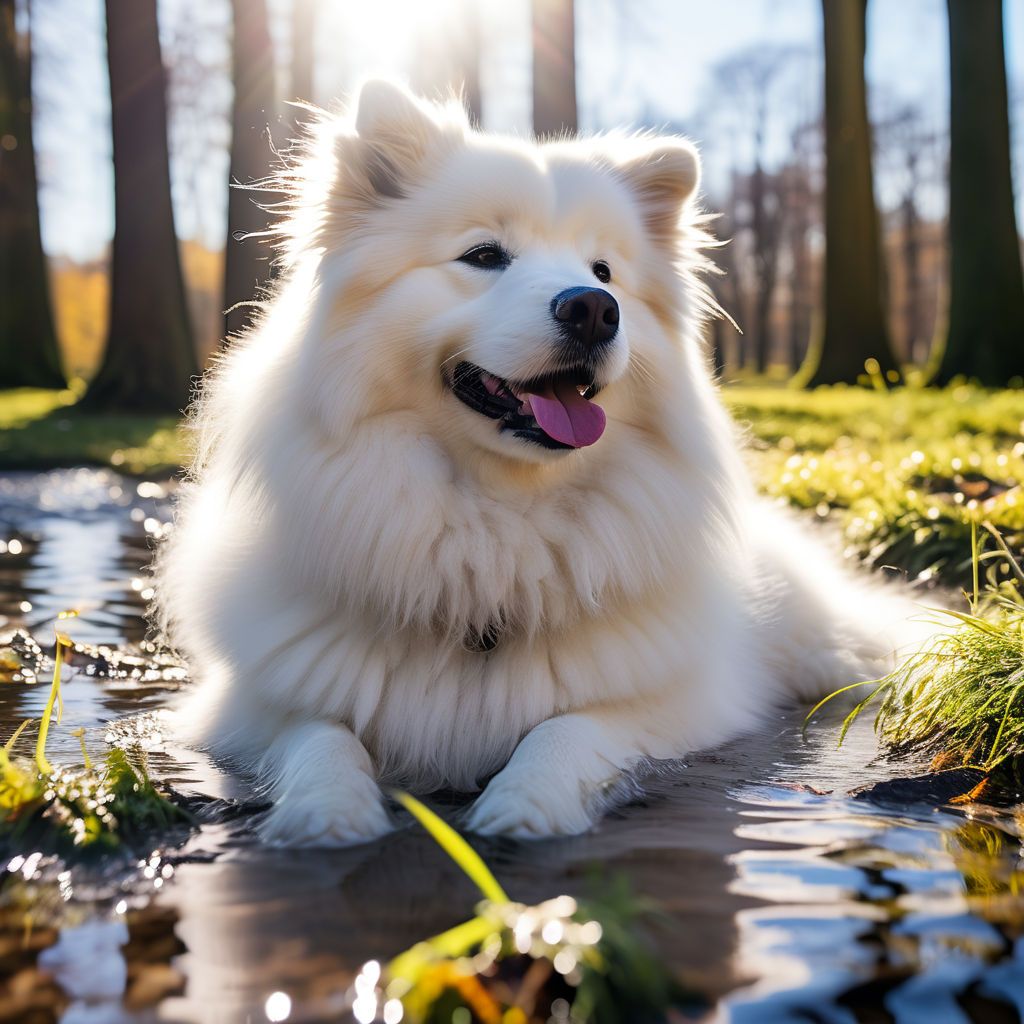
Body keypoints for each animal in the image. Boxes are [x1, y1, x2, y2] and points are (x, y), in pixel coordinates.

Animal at [157, 79, 913, 847]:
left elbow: (568, 730)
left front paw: (524, 806)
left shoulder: (682, 703)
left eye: (603, 271)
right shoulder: (249, 707)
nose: (594, 309)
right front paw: (328, 814)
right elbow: (320, 737)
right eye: (485, 255)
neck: (498, 524)